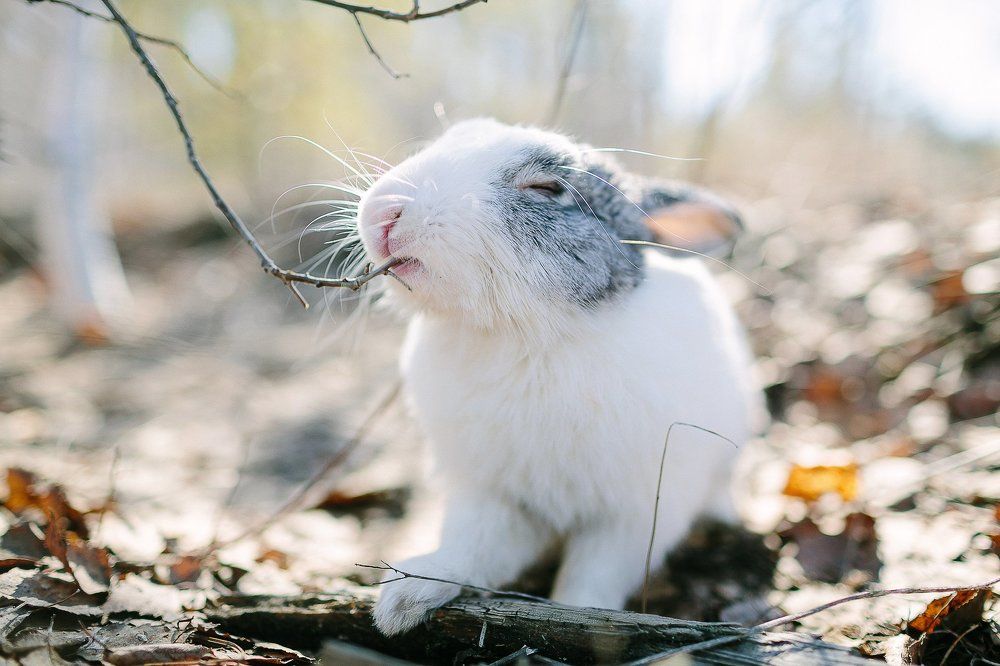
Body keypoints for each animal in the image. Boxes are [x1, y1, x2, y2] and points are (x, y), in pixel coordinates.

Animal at [355, 119, 759, 636]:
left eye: (546, 188)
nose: (386, 211)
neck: (528, 336)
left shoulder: (634, 516)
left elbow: (594, 576)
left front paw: (584, 620)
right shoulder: (492, 495)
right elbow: (471, 548)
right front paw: (402, 602)